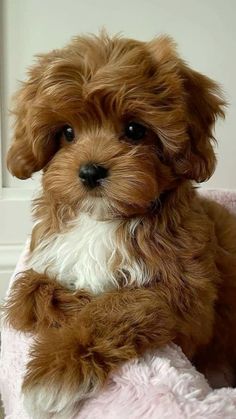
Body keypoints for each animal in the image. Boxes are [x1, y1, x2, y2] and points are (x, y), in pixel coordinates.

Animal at [3, 33, 236, 419]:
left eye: (134, 130)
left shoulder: (190, 302)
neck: (103, 220)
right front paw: (78, 301)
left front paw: (53, 373)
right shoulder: (46, 257)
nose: (90, 172)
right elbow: (27, 293)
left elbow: (119, 304)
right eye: (67, 133)